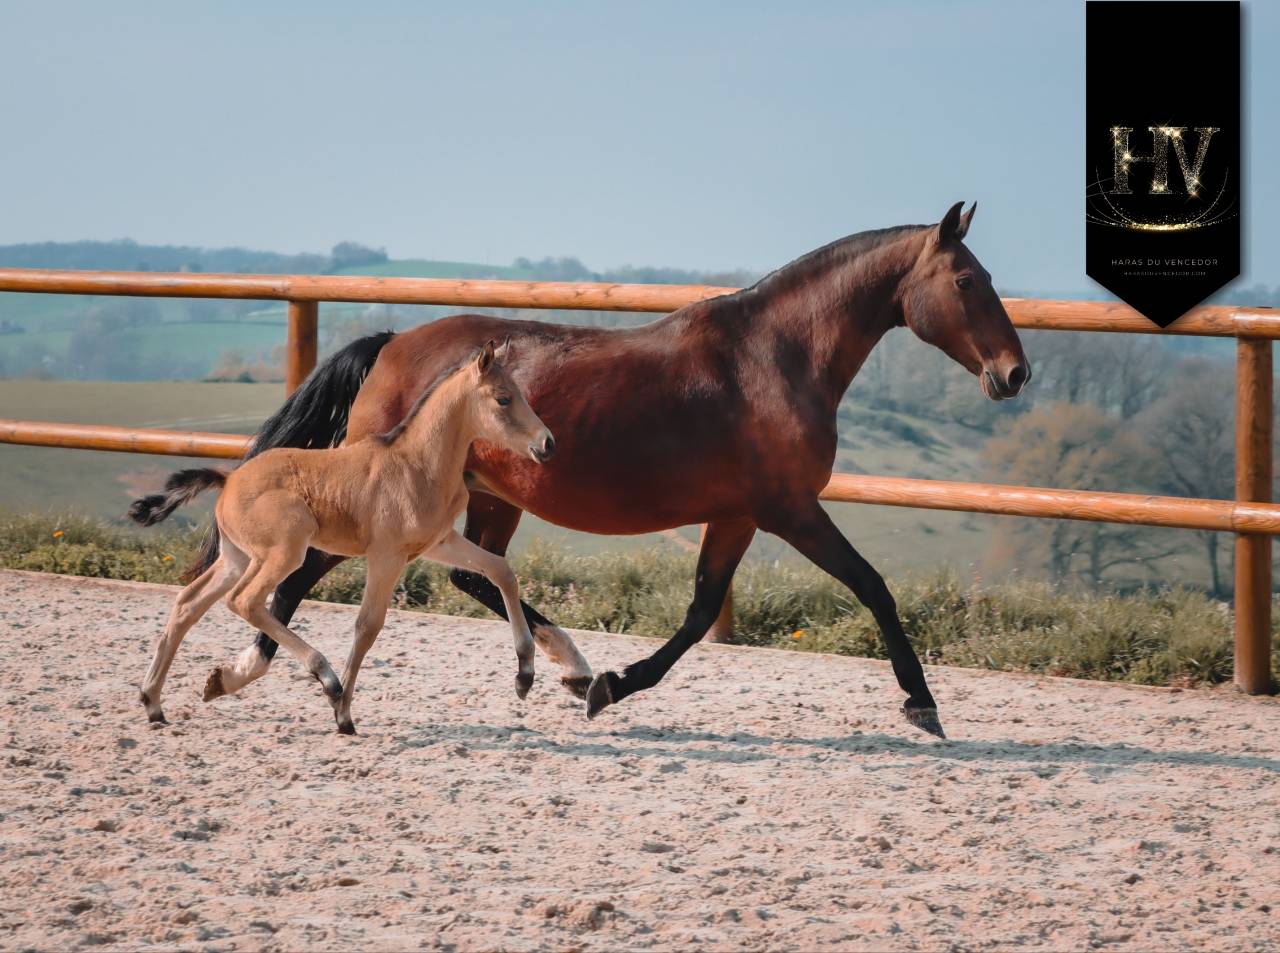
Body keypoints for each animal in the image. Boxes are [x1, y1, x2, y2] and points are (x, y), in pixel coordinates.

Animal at [130, 341, 560, 734]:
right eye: (503, 398)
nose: (547, 443)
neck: (418, 464)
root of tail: (229, 479)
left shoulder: (439, 543)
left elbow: (501, 571)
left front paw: (525, 674)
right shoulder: (386, 555)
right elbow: (368, 625)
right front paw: (343, 714)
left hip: (237, 557)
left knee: (188, 603)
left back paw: (154, 702)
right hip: (285, 551)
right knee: (245, 601)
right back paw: (326, 677)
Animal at [199, 201, 1029, 739]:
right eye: (967, 281)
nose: (1015, 373)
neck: (776, 356)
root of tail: (394, 343)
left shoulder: (738, 514)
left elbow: (698, 614)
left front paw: (607, 686)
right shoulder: (788, 507)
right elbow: (872, 586)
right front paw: (922, 703)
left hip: (487, 495)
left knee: (475, 572)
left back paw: (565, 664)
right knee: (306, 579)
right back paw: (251, 673)